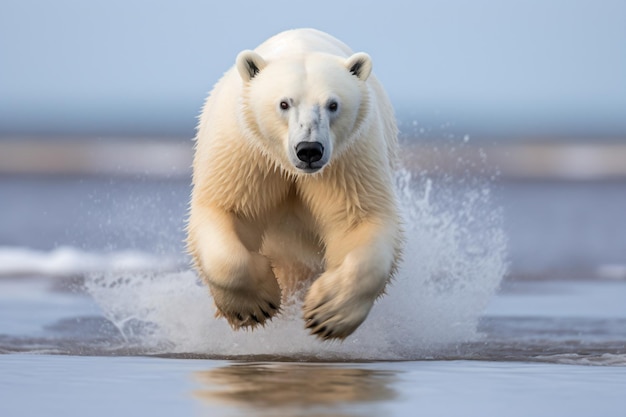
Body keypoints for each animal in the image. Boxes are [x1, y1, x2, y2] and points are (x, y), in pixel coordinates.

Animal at [185, 27, 402, 340]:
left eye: (333, 104)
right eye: (284, 103)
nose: (309, 150)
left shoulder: (349, 159)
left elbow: (359, 220)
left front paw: (327, 312)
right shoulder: (247, 151)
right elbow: (227, 210)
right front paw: (254, 306)